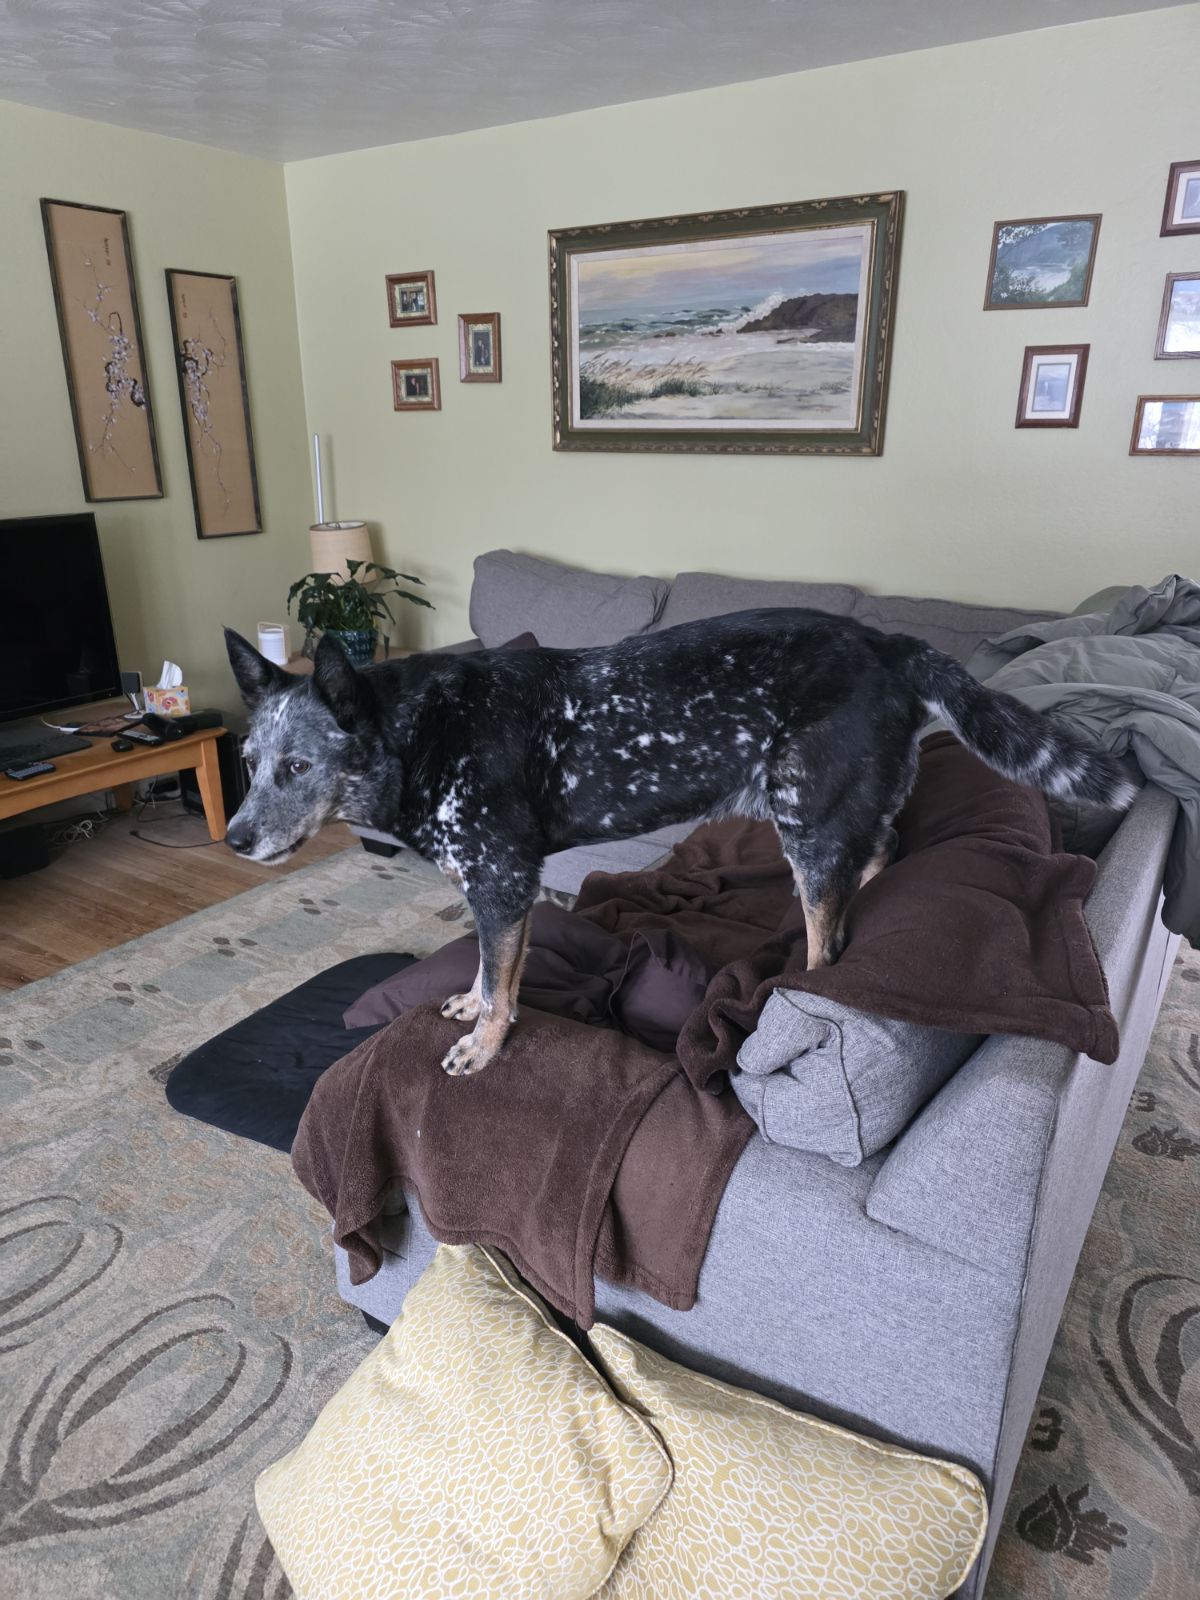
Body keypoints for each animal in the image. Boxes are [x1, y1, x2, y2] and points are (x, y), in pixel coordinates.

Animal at [224, 610, 1134, 1077]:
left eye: (299, 765)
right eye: (247, 763)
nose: (232, 840)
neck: (417, 732)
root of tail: (889, 642)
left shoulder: (503, 881)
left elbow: (504, 979)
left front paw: (484, 1045)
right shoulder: (492, 889)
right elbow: (488, 971)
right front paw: (473, 1006)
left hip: (804, 823)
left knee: (827, 940)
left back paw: (796, 994)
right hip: (837, 815)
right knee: (877, 858)